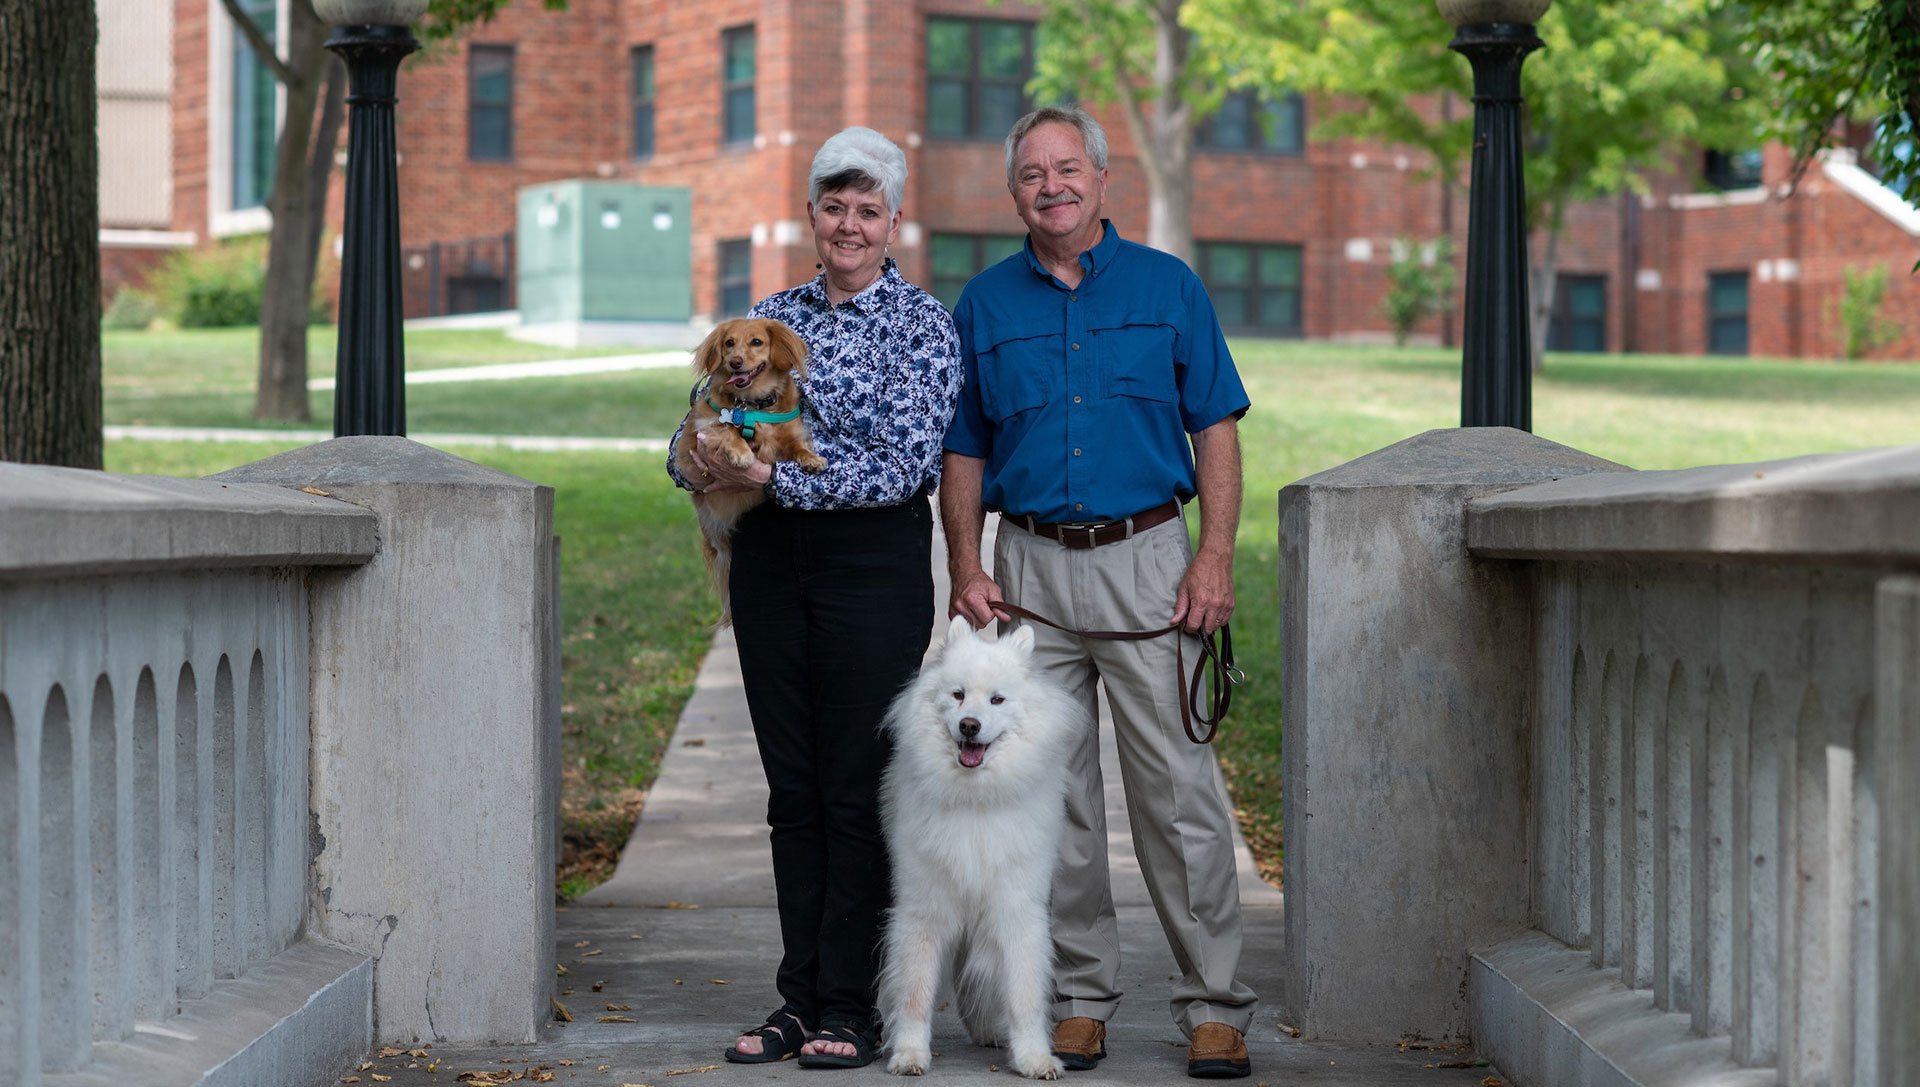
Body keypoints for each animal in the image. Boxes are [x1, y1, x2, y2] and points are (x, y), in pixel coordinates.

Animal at [675, 318, 825, 626]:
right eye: (729, 343)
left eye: (757, 342)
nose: (734, 362)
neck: (751, 404)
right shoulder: (704, 427)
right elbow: (727, 431)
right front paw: (741, 453)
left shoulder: (790, 434)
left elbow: (797, 447)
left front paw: (812, 459)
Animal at [879, 618, 1090, 1075]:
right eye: (958, 695)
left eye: (997, 700)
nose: (970, 726)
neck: (975, 798)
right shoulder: (925, 908)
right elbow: (915, 992)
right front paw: (909, 1054)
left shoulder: (1016, 909)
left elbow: (1025, 996)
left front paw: (1034, 1058)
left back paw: (989, 1032)